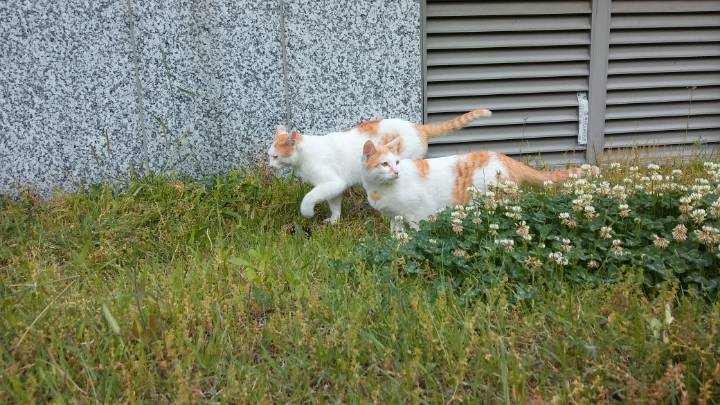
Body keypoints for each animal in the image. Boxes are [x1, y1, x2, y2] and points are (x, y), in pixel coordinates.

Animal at [268, 109, 492, 223]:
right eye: (269, 156)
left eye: (275, 156)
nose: (270, 166)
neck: (306, 154)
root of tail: (418, 127)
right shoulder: (334, 187)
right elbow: (334, 205)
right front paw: (334, 221)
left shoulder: (332, 182)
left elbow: (310, 197)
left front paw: (307, 213)